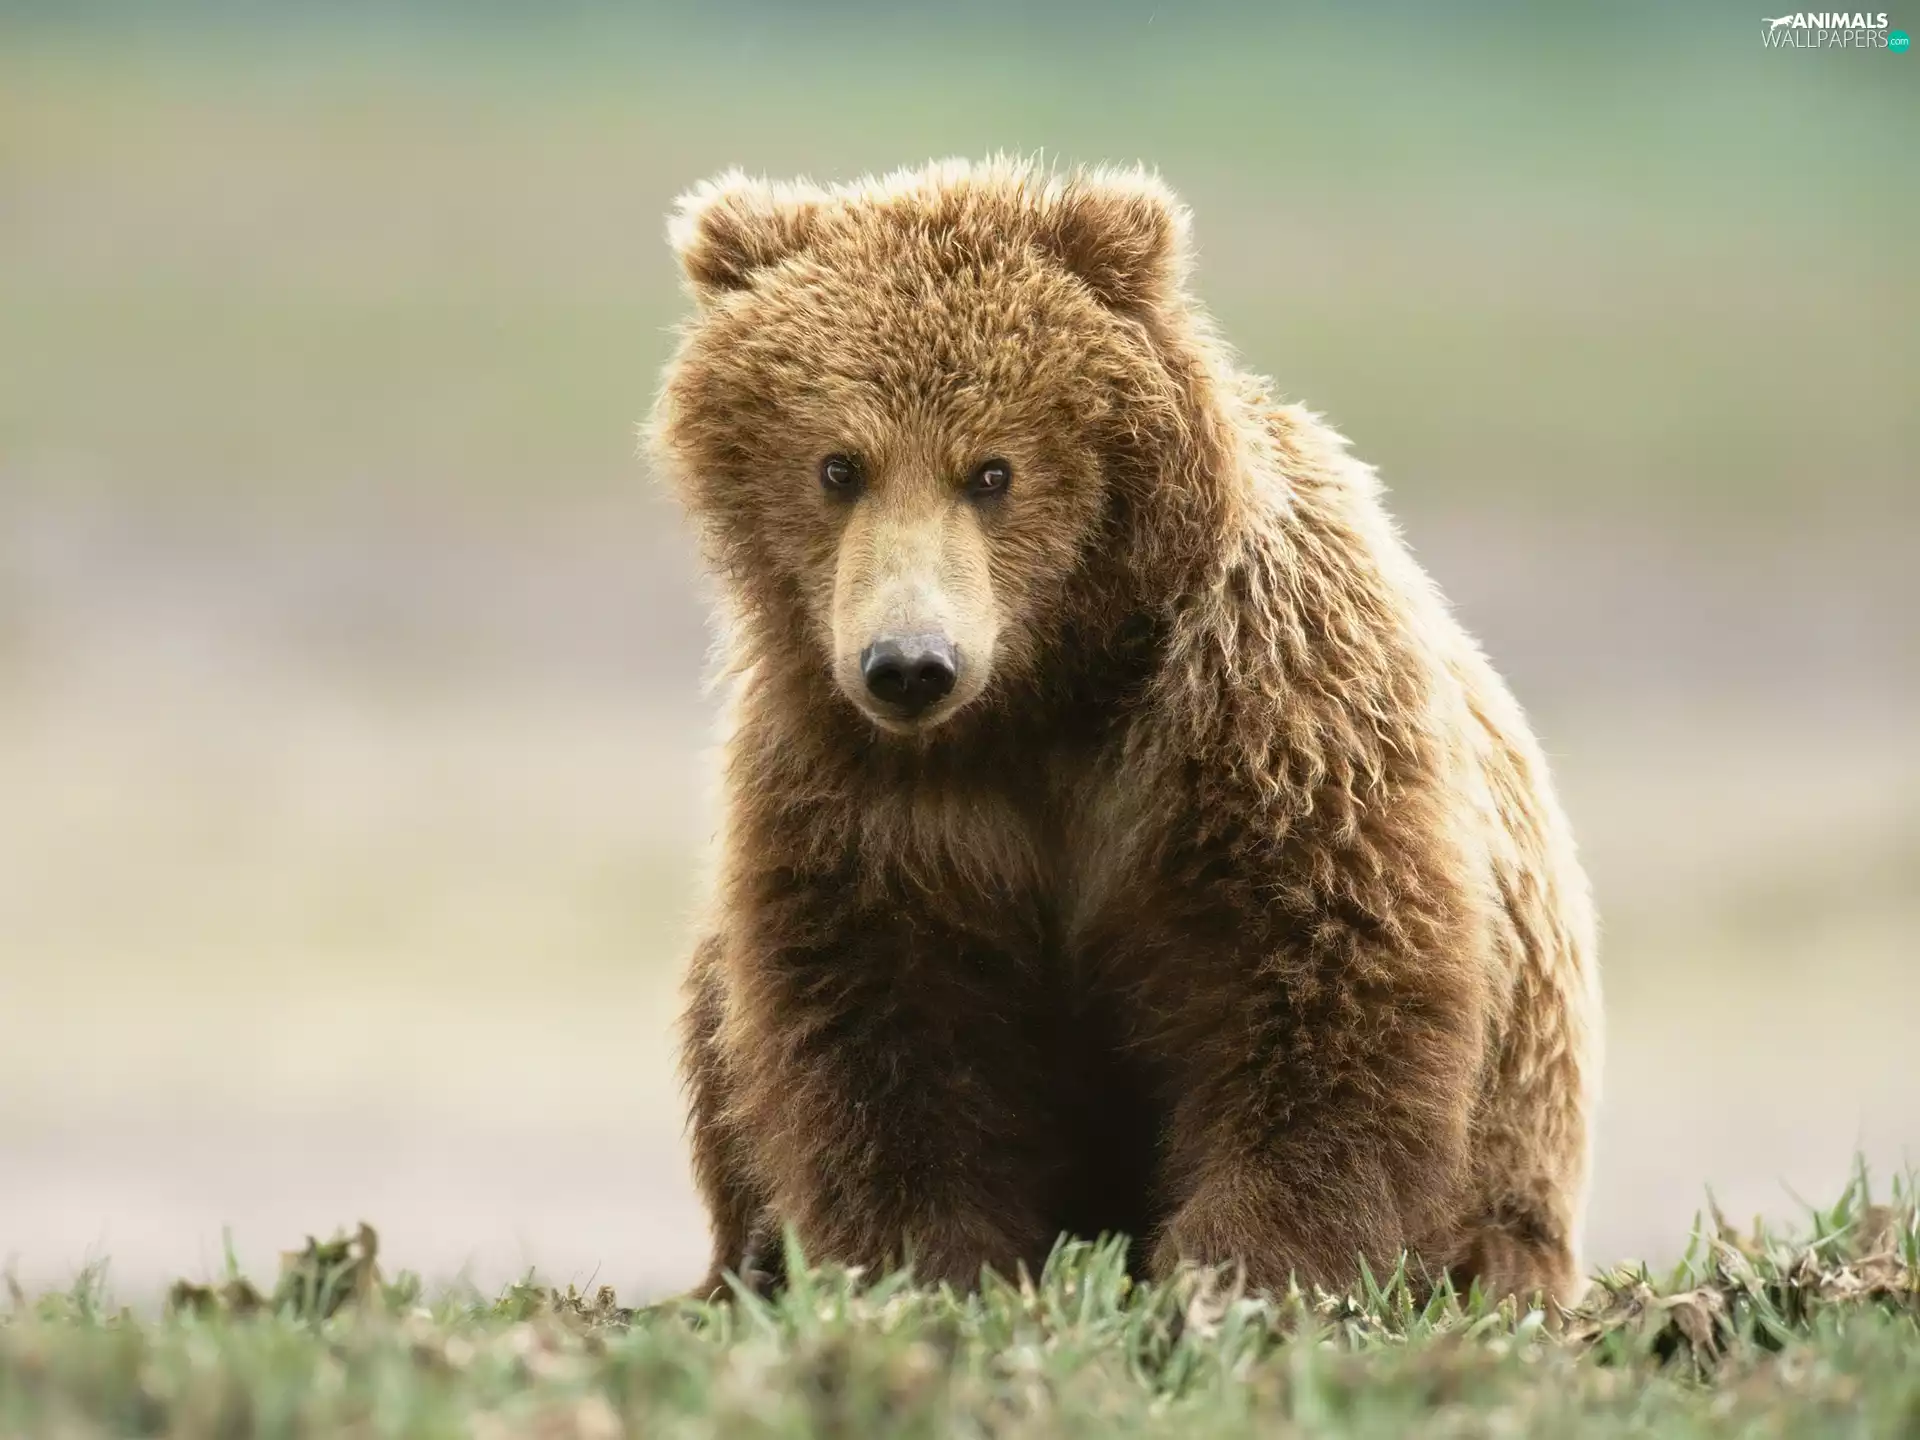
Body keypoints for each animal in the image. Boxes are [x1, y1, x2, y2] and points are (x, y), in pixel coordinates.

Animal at [646, 157, 1601, 1306]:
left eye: (993, 469)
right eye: (840, 465)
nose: (911, 664)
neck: (1049, 689)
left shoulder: (1265, 710)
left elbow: (1321, 980)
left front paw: (1243, 1268)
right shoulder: (862, 783)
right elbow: (880, 1016)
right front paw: (929, 1261)